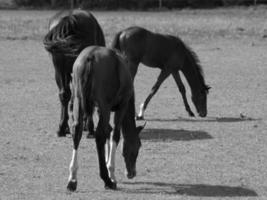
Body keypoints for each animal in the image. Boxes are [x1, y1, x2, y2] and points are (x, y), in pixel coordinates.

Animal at [68, 45, 146, 191]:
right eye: (138, 146)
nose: (132, 173)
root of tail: (91, 55)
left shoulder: (100, 109)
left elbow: (108, 131)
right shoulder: (121, 106)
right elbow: (114, 134)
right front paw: (111, 173)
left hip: (78, 100)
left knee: (77, 131)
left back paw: (72, 179)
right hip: (105, 105)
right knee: (99, 135)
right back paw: (107, 180)